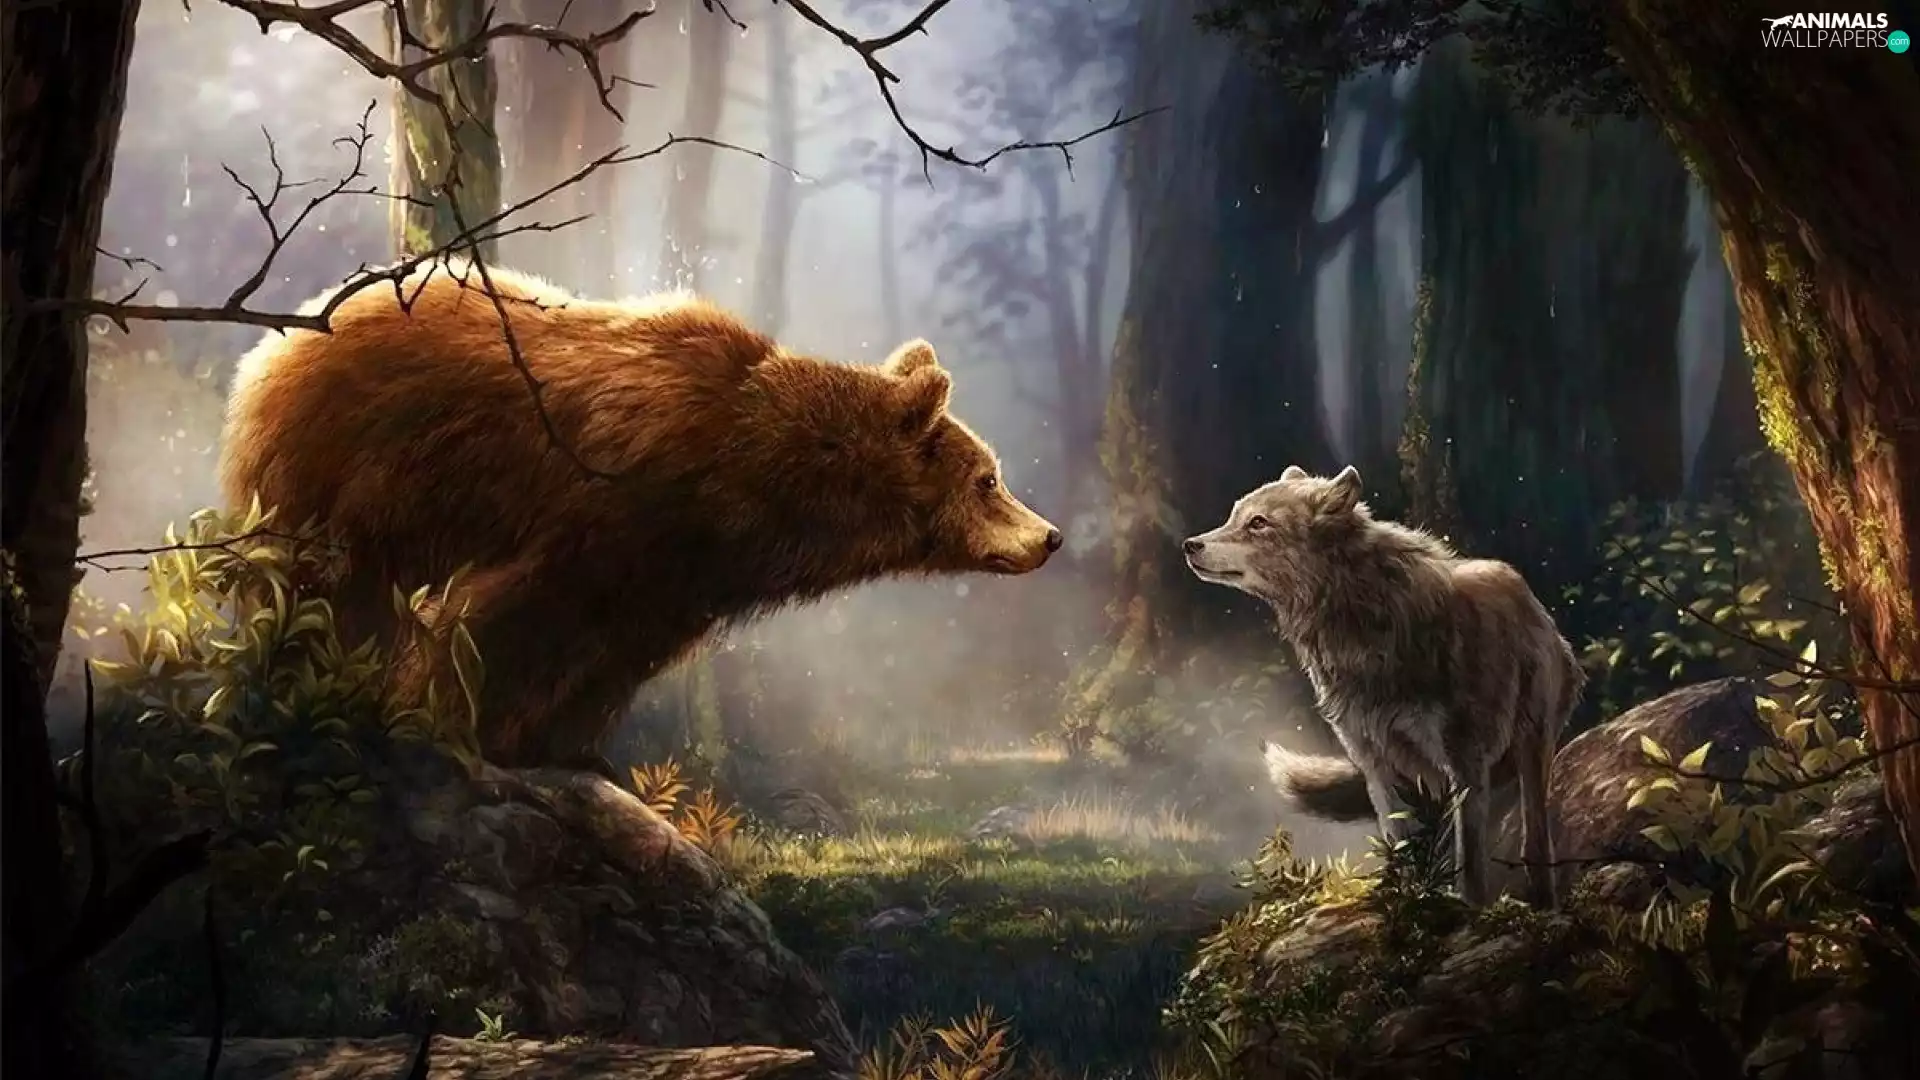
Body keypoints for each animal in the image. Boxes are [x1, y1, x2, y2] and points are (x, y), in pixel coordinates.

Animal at [218, 261, 1062, 767]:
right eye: (988, 479)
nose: (1049, 536)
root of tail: (276, 342)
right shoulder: (608, 508)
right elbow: (505, 616)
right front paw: (450, 725)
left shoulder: (676, 575)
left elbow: (610, 654)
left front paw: (563, 746)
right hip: (341, 469)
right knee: (322, 584)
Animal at [1183, 465, 1581, 907]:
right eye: (1233, 516)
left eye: (1258, 523)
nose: (1189, 545)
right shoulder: (1375, 762)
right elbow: (1400, 846)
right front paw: (1408, 903)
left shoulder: (1466, 763)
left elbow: (1471, 864)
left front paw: (1469, 910)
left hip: (1530, 747)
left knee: (1534, 838)